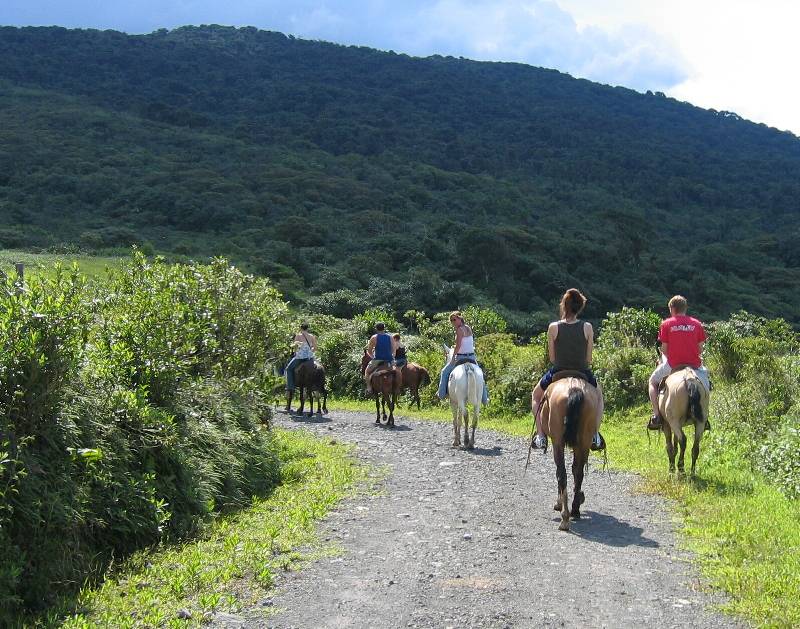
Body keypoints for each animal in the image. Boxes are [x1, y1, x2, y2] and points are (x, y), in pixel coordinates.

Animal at [536, 372, 600, 528]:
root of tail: (574, 389)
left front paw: (558, 503)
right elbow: (576, 471)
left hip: (558, 441)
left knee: (562, 473)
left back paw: (565, 516)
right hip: (584, 441)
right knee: (578, 472)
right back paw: (575, 509)